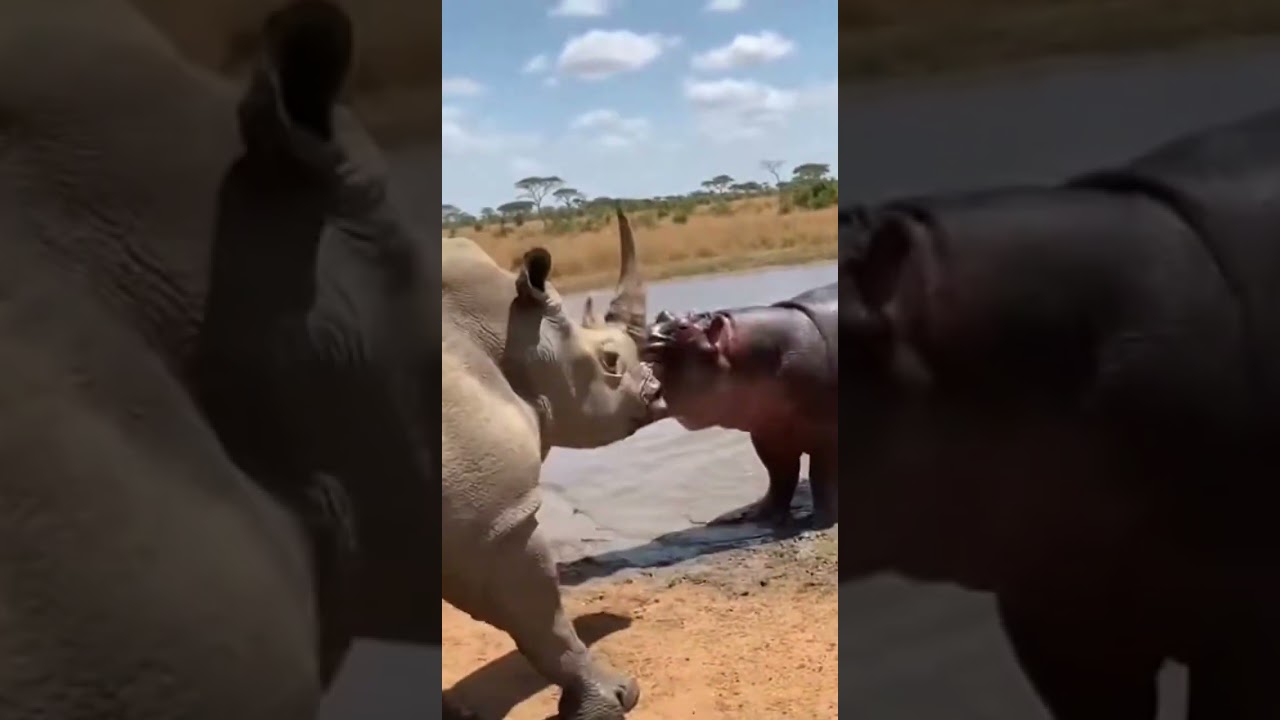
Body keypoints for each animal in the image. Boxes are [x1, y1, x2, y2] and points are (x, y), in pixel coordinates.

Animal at [441, 207, 665, 719]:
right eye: (611, 362)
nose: (659, 392)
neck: (511, 332)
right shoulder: (494, 521)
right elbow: (545, 621)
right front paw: (617, 699)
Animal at [645, 283, 838, 528]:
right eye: (662, 315)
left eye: (684, 327)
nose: (643, 334)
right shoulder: (767, 433)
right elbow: (779, 474)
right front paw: (758, 516)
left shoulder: (826, 434)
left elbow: (821, 475)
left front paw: (818, 522)